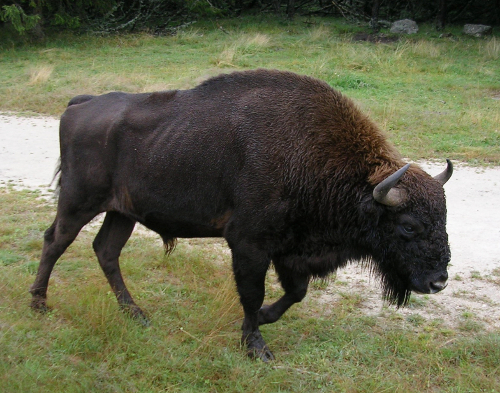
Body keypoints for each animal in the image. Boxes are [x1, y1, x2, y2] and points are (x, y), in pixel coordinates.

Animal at [31, 69, 454, 360]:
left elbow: (294, 293)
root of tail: (80, 105)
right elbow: (253, 294)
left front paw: (264, 320)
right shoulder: (250, 245)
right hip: (78, 202)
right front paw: (256, 347)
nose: (438, 282)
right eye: (409, 226)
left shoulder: (289, 251)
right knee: (55, 241)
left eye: (444, 218)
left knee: (106, 251)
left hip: (122, 213)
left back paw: (136, 314)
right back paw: (39, 305)